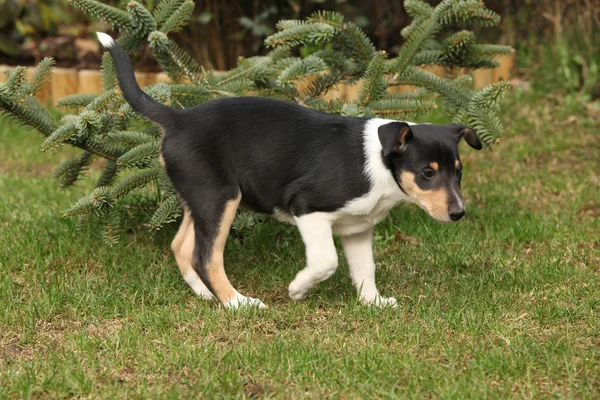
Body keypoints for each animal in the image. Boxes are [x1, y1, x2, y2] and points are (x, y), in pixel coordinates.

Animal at [97, 33, 482, 310]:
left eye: (458, 172)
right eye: (427, 173)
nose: (459, 214)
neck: (381, 165)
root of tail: (177, 118)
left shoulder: (358, 228)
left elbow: (365, 268)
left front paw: (374, 303)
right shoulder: (308, 207)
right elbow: (326, 261)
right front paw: (298, 289)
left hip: (201, 197)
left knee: (181, 246)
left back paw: (207, 296)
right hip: (220, 197)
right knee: (205, 256)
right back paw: (237, 303)